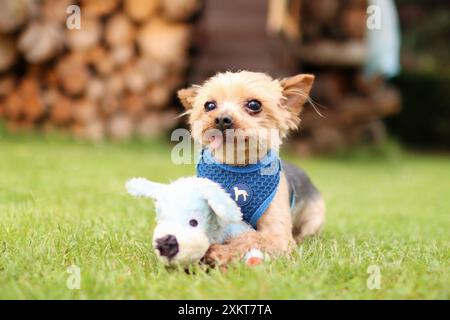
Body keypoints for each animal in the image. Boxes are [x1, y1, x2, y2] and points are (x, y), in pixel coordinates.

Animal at [176, 71, 324, 264]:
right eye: (209, 105)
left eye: (254, 104)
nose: (222, 119)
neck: (238, 165)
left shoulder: (279, 236)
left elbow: (250, 236)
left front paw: (220, 252)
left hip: (314, 218)